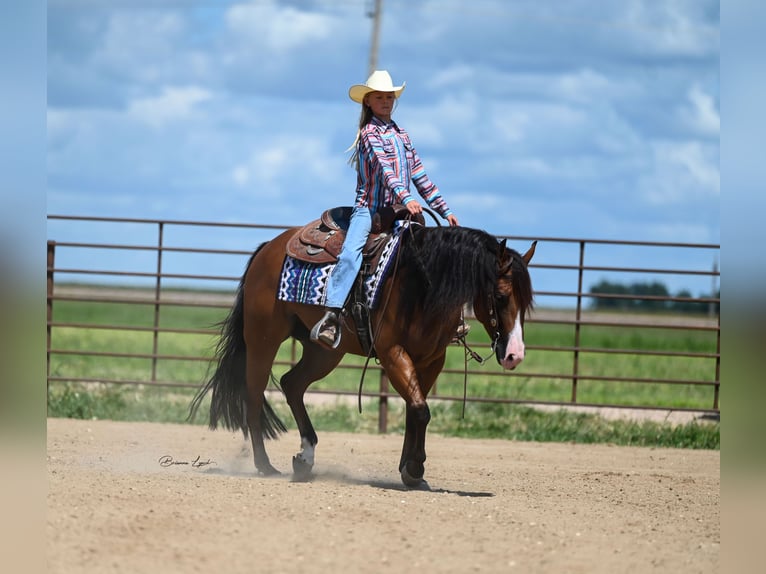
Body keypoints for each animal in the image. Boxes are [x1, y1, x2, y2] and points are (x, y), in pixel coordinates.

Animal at [189, 218, 536, 488]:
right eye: (501, 296)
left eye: (527, 300)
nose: (515, 355)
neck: (421, 284)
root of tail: (269, 248)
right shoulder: (393, 352)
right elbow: (420, 409)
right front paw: (414, 468)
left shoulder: (431, 360)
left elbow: (415, 408)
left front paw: (410, 471)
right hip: (264, 339)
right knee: (254, 395)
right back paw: (265, 466)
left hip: (325, 352)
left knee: (292, 384)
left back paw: (305, 458)